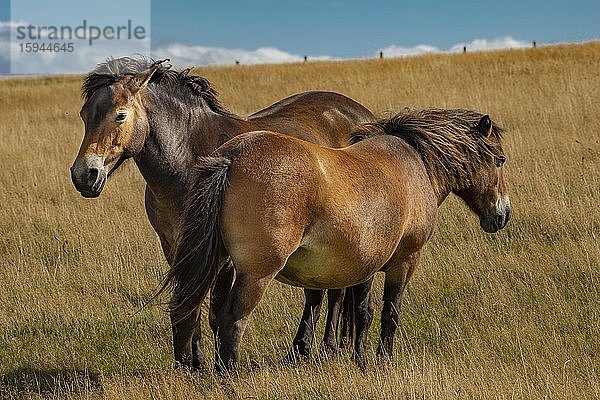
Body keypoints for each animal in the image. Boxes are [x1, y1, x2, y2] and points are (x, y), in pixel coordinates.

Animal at [68, 55, 372, 368]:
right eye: (84, 115)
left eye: (120, 115)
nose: (84, 175)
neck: (188, 161)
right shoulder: (176, 248)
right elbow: (188, 304)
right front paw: (193, 364)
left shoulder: (221, 256)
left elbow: (214, 312)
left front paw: (214, 364)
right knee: (316, 294)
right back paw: (299, 351)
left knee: (334, 294)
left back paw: (327, 348)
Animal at [163, 107, 510, 372]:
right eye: (500, 159)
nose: (502, 214)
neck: (415, 163)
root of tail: (232, 158)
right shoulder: (404, 261)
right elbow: (389, 313)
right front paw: (382, 362)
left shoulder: (364, 266)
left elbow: (361, 313)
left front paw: (360, 362)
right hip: (256, 274)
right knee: (231, 321)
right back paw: (229, 377)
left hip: (213, 264)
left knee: (189, 314)